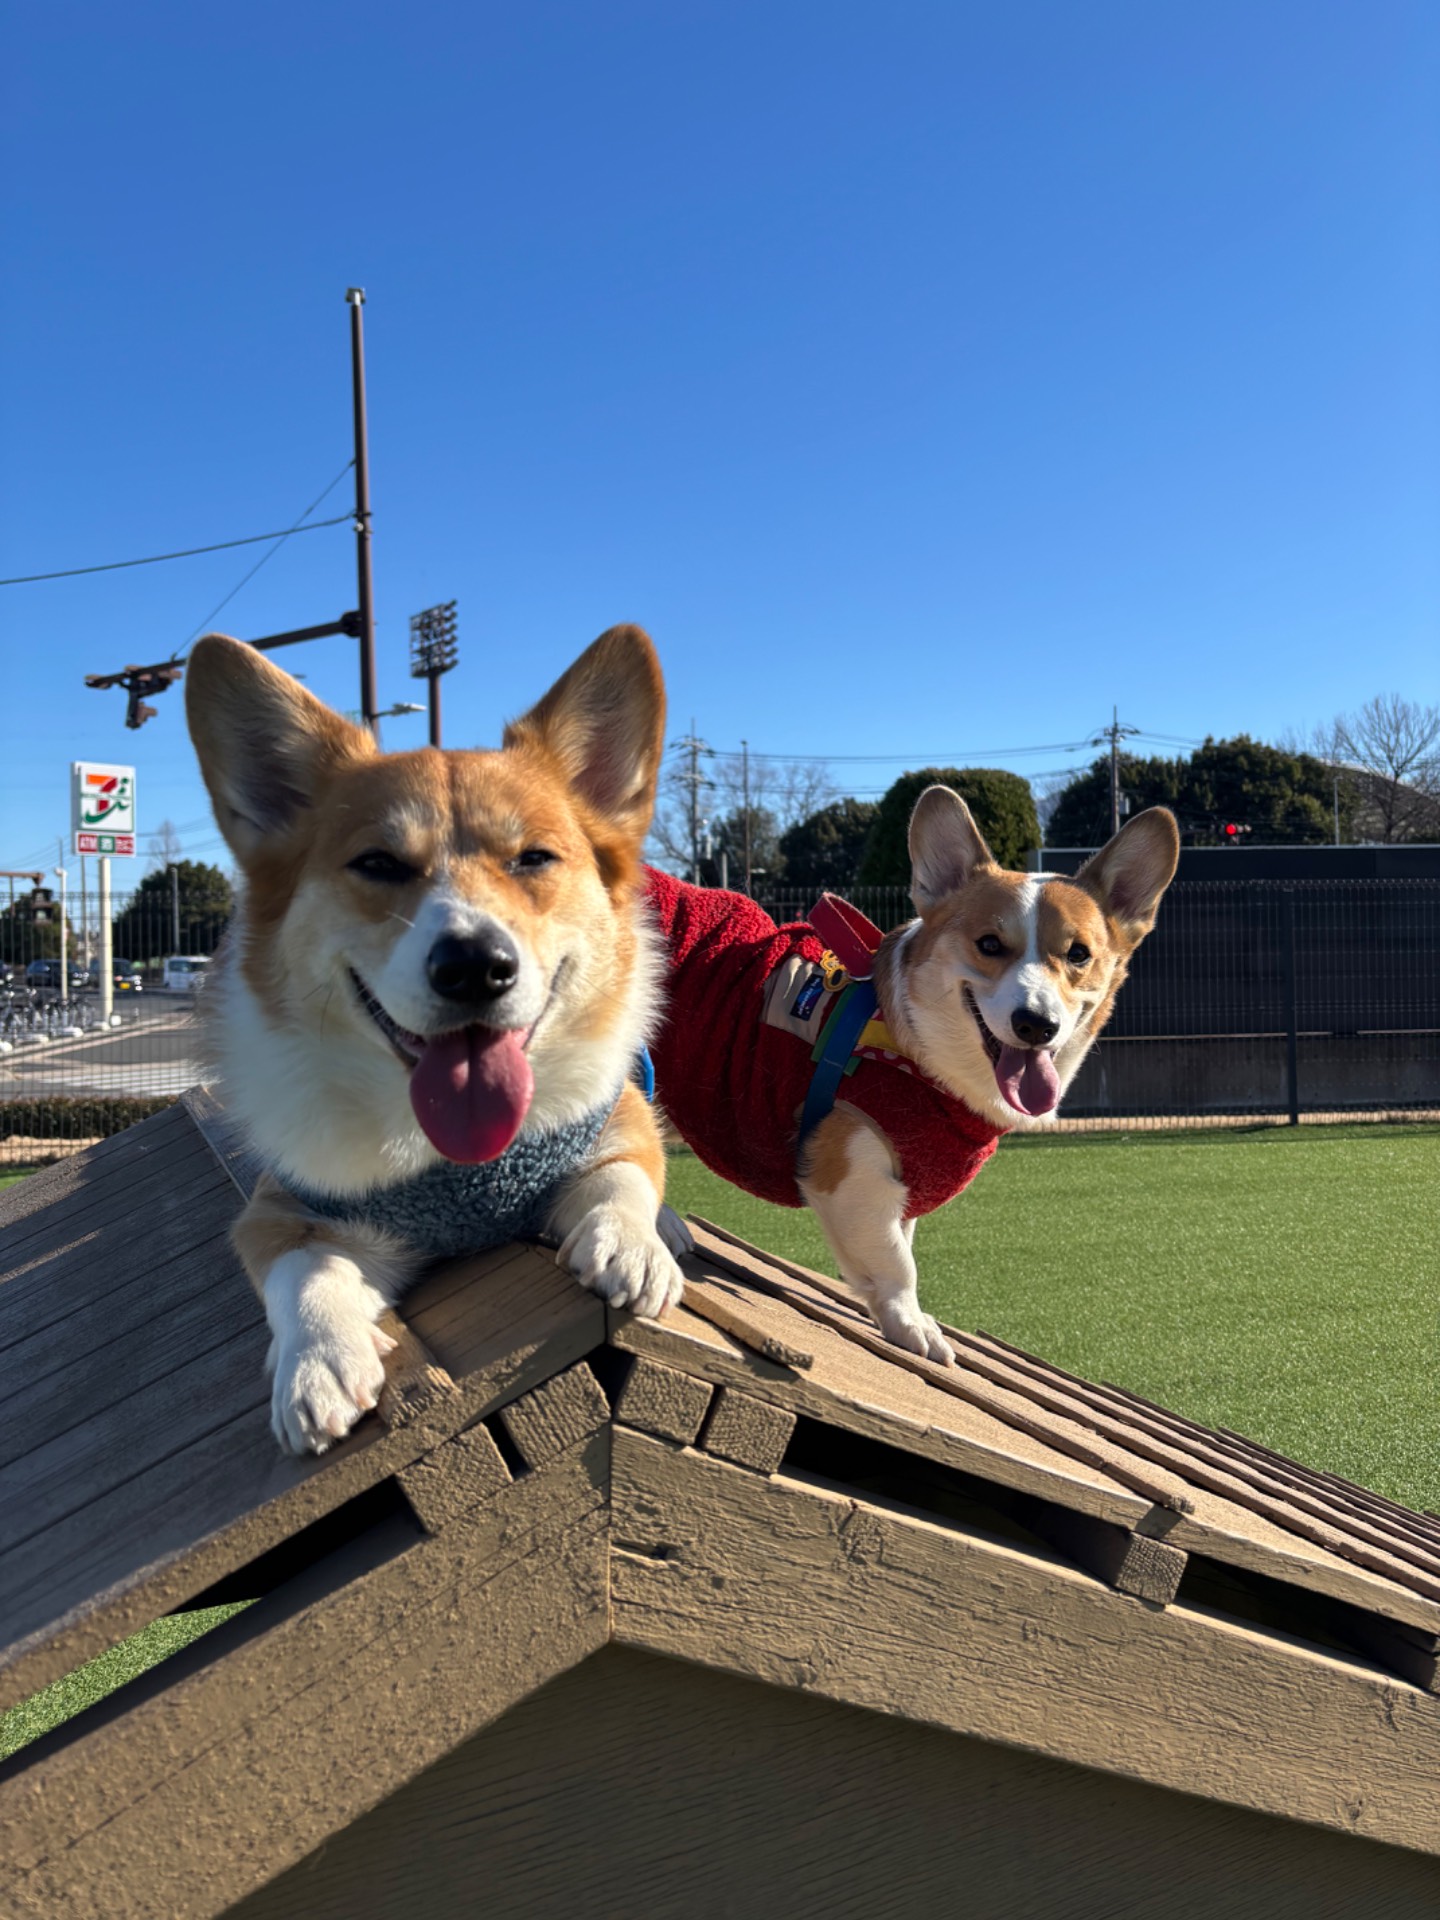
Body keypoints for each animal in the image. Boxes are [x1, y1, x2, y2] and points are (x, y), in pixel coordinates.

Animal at [186, 624, 685, 1454]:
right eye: (378, 864)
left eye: (533, 858)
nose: (475, 966)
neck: (456, 1162)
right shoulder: (278, 1209)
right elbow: (303, 1271)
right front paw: (317, 1364)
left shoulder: (619, 1119)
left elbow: (623, 1177)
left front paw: (629, 1245)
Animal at [646, 787, 1179, 1362]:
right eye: (989, 944)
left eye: (1078, 954)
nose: (1036, 1024)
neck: (925, 1060)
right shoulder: (853, 1169)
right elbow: (897, 1262)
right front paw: (912, 1325)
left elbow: (898, 1243)